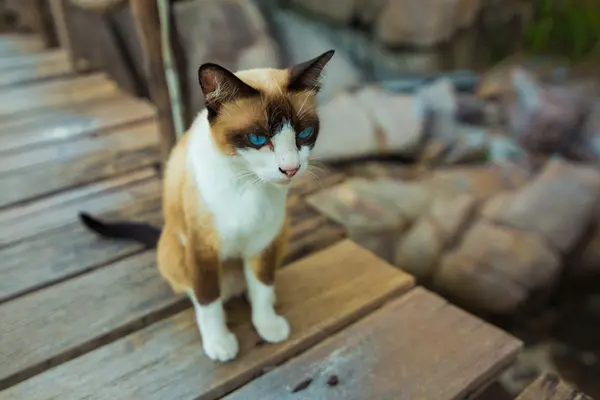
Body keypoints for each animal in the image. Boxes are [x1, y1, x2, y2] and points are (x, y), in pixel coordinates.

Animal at [77, 50, 336, 362]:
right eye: (258, 139)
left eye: (305, 133)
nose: (291, 169)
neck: (248, 185)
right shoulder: (202, 248)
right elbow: (209, 299)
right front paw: (219, 343)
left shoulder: (263, 242)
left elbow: (262, 284)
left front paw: (267, 325)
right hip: (173, 249)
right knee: (198, 289)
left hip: (281, 234)